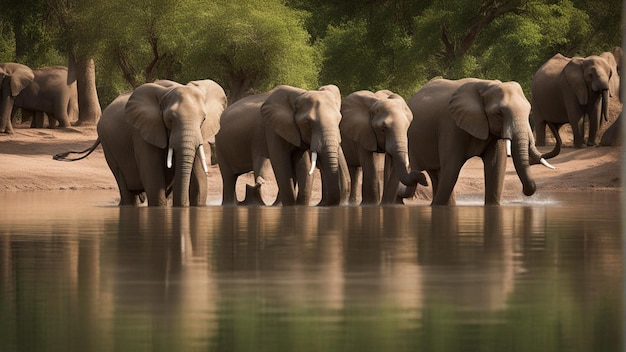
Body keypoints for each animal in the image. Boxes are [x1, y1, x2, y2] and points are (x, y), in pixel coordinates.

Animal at [55, 80, 227, 206]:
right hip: (108, 146)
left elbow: (200, 183)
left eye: (203, 119)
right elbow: (153, 179)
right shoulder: (143, 134)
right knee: (126, 188)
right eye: (169, 119)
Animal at [216, 85, 348, 206]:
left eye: (339, 120)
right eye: (308, 123)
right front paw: (289, 205)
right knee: (229, 177)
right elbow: (281, 162)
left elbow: (303, 164)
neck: (299, 94)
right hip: (221, 146)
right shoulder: (272, 129)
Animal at [400, 78, 552, 205]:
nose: (524, 191)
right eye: (499, 113)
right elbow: (451, 168)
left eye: (528, 110)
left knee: (436, 173)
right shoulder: (451, 125)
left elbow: (496, 167)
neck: (486, 85)